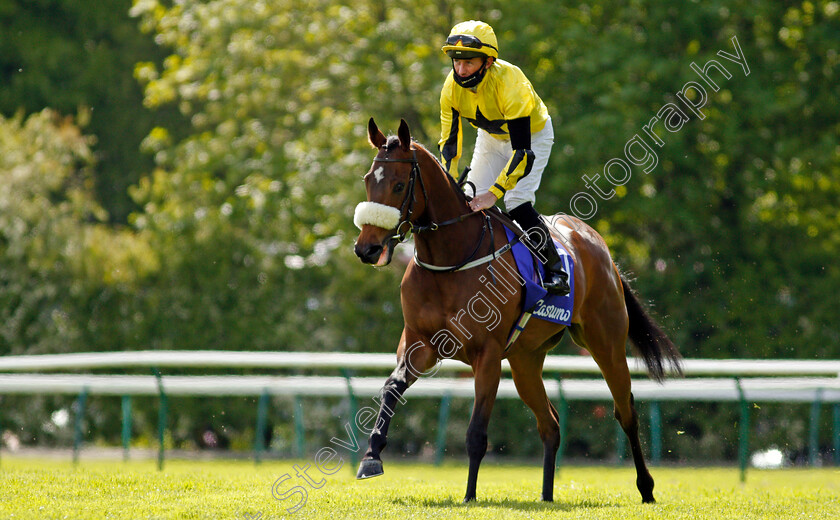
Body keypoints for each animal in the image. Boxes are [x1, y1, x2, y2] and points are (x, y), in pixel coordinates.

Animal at [352, 118, 680, 504]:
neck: (451, 258)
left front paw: (469, 496)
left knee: (625, 411)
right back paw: (547, 497)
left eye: (400, 184)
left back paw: (646, 488)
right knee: (550, 424)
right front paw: (371, 457)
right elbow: (391, 388)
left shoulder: (488, 354)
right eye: (368, 179)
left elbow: (477, 432)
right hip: (526, 361)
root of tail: (600, 248)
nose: (367, 248)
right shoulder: (421, 344)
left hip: (606, 344)